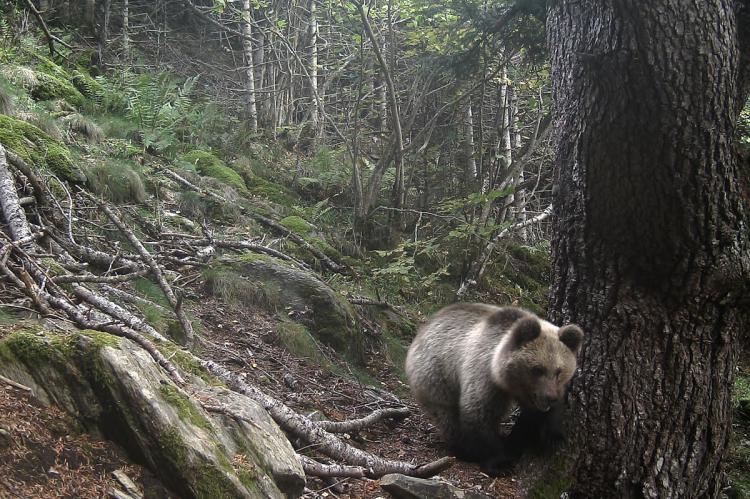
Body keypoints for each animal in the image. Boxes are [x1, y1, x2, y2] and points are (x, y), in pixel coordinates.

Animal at [406, 302, 588, 470]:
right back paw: (462, 449)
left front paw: (554, 438)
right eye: (538, 369)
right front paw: (500, 463)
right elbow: (479, 413)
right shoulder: (485, 377)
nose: (549, 397)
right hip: (436, 375)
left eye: (559, 371)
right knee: (447, 416)